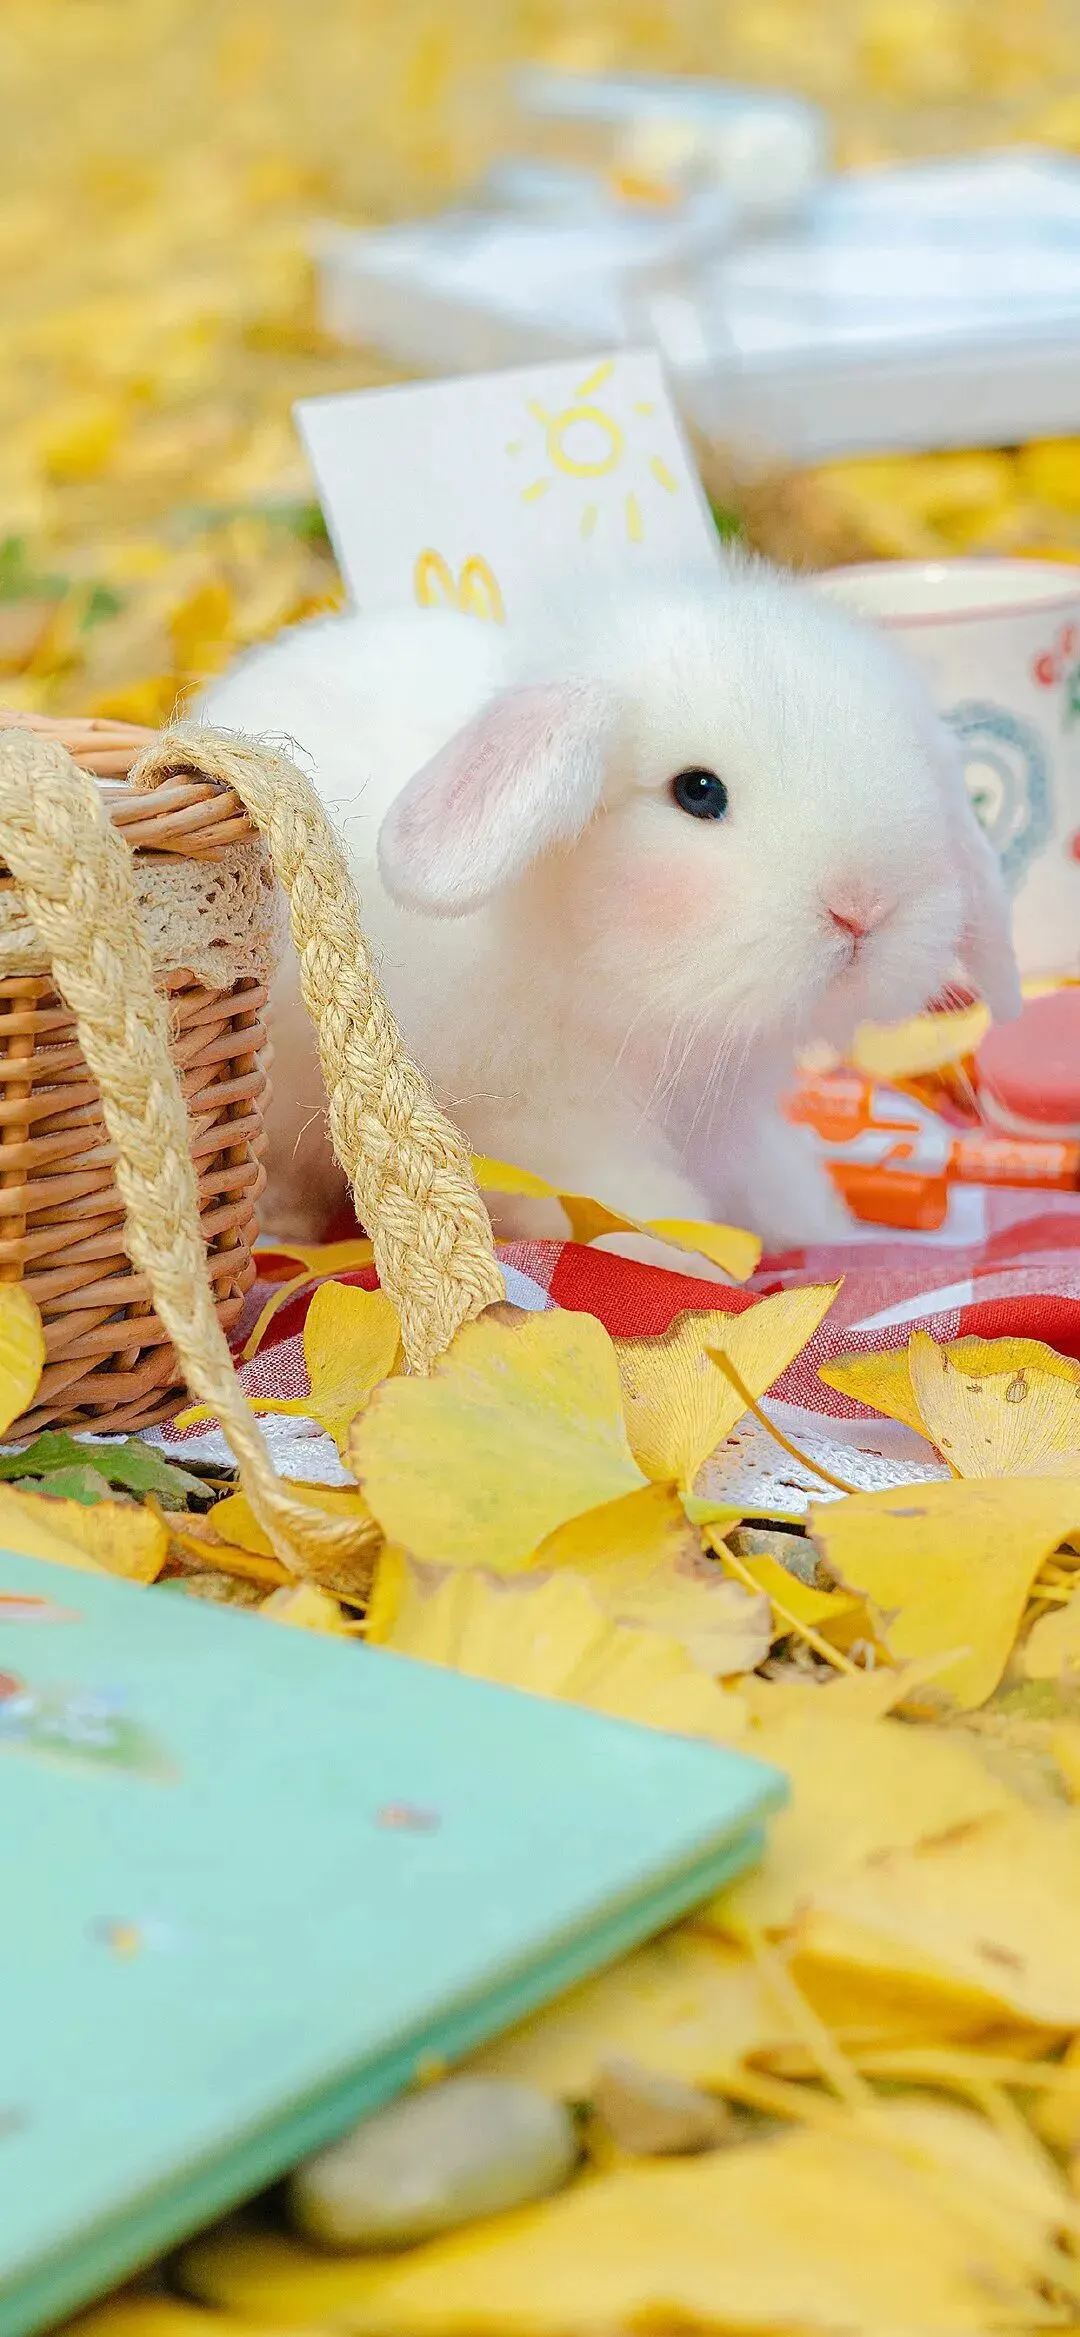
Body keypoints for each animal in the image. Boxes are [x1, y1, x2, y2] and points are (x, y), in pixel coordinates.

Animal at [199, 559, 1020, 1262]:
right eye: (698, 792)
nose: (864, 908)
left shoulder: (726, 1118)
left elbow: (762, 1167)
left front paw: (811, 1219)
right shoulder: (546, 1120)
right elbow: (617, 1196)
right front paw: (685, 1251)